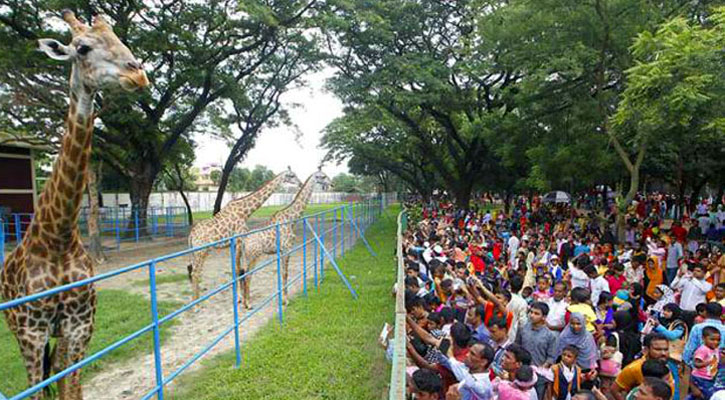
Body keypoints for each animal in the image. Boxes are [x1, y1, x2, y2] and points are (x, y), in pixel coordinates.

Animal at [0, 8, 148, 400]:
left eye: (119, 39)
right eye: (82, 48)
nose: (138, 74)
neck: (59, 237)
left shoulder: (80, 325)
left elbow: (73, 387)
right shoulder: (32, 333)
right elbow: (38, 389)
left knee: (60, 371)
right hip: (17, 329)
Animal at [188, 170, 302, 304]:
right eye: (292, 175)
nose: (300, 183)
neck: (245, 212)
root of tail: (191, 235)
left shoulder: (234, 243)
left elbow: (236, 268)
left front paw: (240, 297)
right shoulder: (239, 239)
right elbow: (239, 269)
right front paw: (241, 299)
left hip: (195, 252)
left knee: (192, 271)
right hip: (201, 251)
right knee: (195, 272)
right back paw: (197, 305)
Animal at [238, 169, 328, 310]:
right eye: (322, 176)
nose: (332, 183)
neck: (291, 219)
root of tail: (243, 240)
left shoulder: (280, 251)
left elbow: (281, 273)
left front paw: (282, 299)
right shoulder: (287, 249)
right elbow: (285, 273)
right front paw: (286, 301)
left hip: (245, 257)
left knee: (242, 275)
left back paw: (244, 302)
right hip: (253, 256)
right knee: (247, 277)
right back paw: (249, 304)